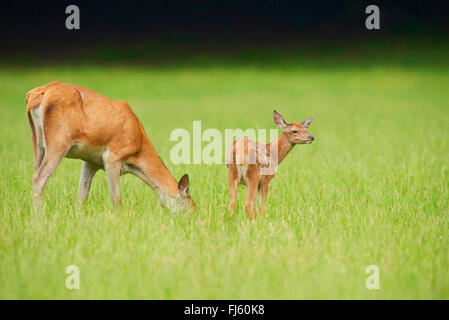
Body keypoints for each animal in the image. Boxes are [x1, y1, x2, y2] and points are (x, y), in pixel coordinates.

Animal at [25, 81, 194, 214]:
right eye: (190, 207)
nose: (189, 219)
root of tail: (34, 95)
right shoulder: (113, 157)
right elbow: (117, 199)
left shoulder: (90, 161)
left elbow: (82, 194)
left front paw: (77, 216)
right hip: (59, 141)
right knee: (39, 178)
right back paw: (39, 216)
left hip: (38, 141)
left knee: (35, 172)